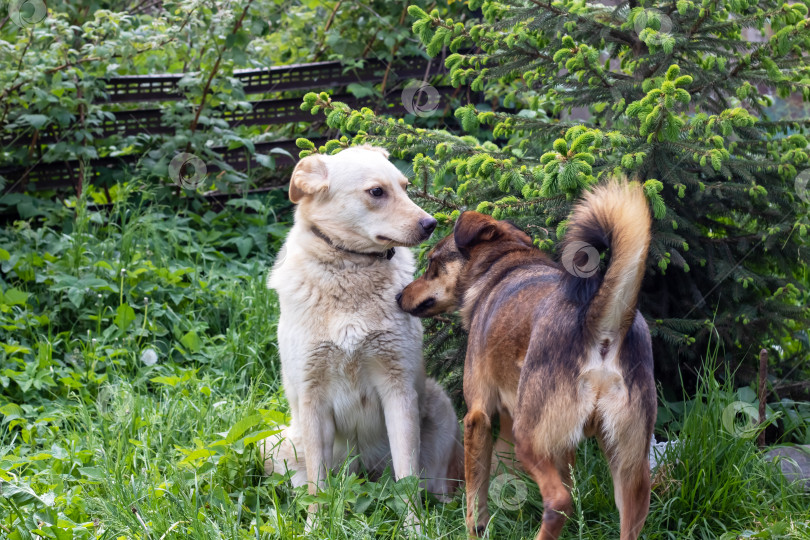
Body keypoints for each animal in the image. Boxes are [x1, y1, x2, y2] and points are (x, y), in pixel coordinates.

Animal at [266, 144, 460, 516]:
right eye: (376, 192)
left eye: (405, 187)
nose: (431, 224)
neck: (351, 269)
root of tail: (364, 472)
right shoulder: (312, 399)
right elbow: (318, 488)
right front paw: (316, 525)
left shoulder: (398, 391)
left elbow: (406, 478)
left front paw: (414, 525)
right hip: (276, 444)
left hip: (443, 409)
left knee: (435, 485)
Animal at [398, 182, 656, 540]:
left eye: (432, 264)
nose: (398, 297)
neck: (504, 265)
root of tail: (599, 324)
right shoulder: (536, 434)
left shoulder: (478, 416)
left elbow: (475, 497)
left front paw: (476, 527)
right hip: (630, 471)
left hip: (529, 438)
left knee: (559, 502)